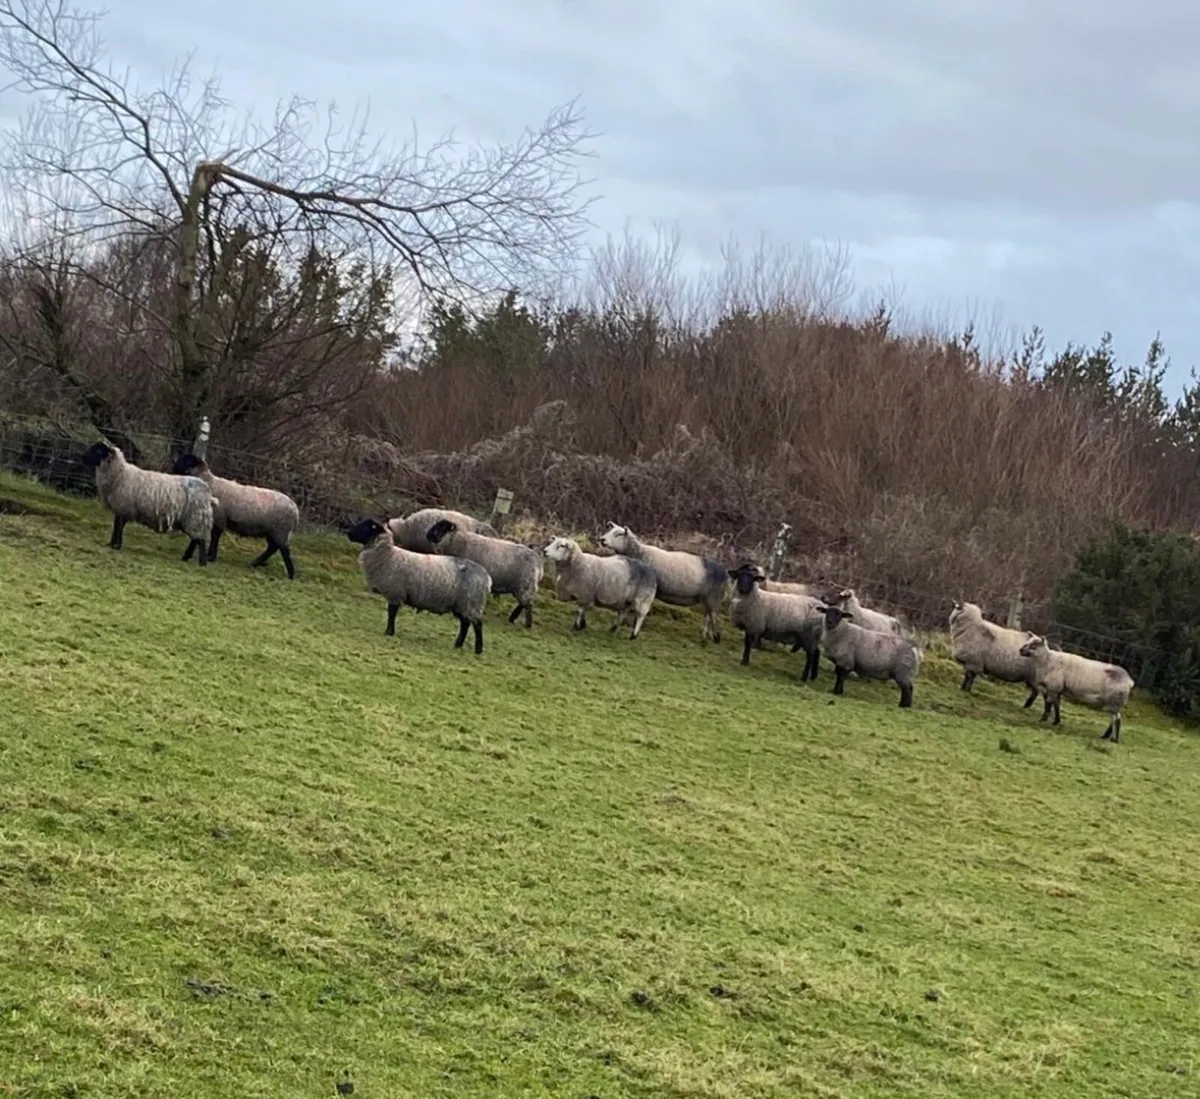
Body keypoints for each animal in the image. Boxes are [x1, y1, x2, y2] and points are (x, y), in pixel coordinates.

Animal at [81, 441, 217, 566]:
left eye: (99, 451)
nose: (83, 457)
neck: (120, 474)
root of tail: (207, 491)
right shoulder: (121, 509)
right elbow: (117, 526)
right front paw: (111, 544)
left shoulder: (123, 506)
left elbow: (119, 527)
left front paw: (116, 545)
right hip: (193, 518)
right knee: (195, 539)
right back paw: (186, 557)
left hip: (195, 517)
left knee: (200, 540)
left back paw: (202, 562)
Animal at [170, 454, 300, 579]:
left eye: (185, 460)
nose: (172, 467)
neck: (210, 483)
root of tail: (295, 509)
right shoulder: (216, 519)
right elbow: (214, 537)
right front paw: (210, 555)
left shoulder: (219, 518)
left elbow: (215, 537)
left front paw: (210, 557)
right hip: (272, 531)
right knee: (273, 547)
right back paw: (256, 563)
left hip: (280, 530)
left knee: (283, 550)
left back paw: (291, 574)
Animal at [345, 518, 491, 653]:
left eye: (367, 526)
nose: (349, 533)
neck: (388, 555)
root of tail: (487, 578)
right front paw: (390, 632)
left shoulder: (395, 593)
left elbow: (391, 614)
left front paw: (388, 632)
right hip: (463, 604)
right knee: (465, 624)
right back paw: (458, 644)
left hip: (472, 602)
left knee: (478, 625)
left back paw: (478, 650)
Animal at [598, 523, 728, 642]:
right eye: (609, 530)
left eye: (619, 534)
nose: (602, 539)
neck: (640, 552)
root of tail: (724, 570)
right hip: (707, 598)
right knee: (708, 615)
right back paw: (705, 636)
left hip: (713, 596)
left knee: (714, 616)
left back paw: (716, 637)